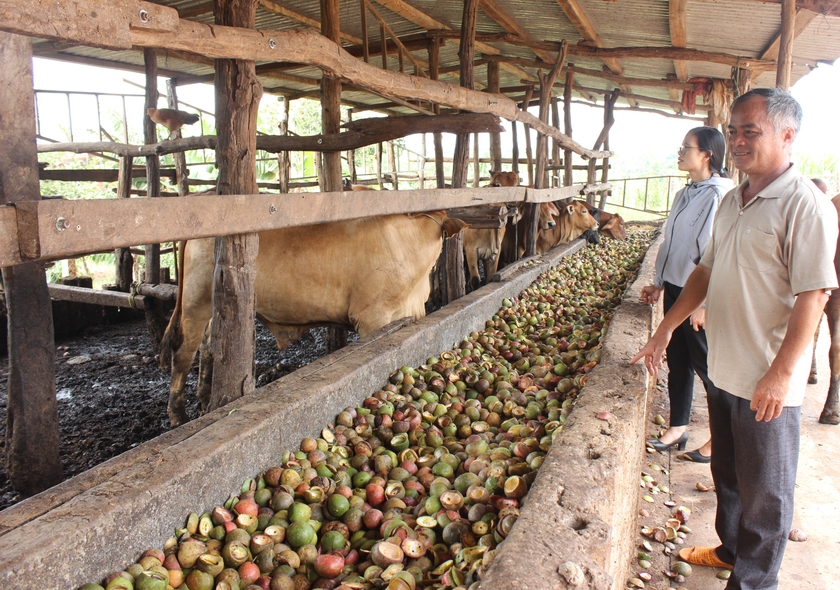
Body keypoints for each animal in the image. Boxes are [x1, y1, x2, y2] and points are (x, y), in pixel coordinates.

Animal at [161, 212, 470, 426]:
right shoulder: (373, 316)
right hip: (195, 301)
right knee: (184, 353)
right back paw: (177, 414)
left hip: (212, 309)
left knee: (208, 349)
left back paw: (204, 398)